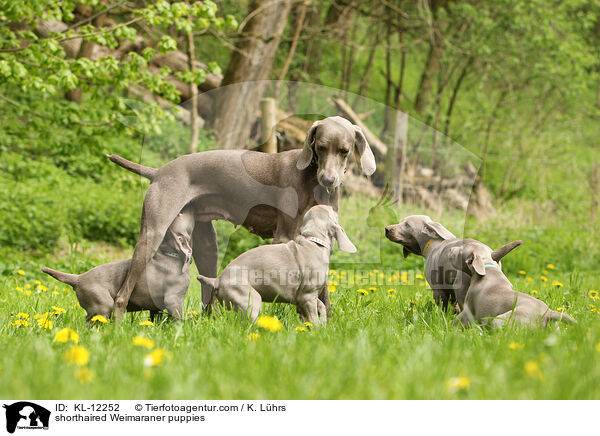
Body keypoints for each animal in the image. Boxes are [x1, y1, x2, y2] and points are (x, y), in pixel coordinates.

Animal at [42, 206, 195, 322]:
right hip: (102, 304)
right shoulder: (173, 299)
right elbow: (178, 319)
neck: (173, 256)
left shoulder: (156, 306)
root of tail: (78, 278)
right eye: (181, 214)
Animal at [197, 206, 356, 326]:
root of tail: (216, 280)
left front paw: (323, 323)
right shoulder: (307, 295)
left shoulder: (304, 296)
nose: (334, 206)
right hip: (250, 299)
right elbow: (313, 316)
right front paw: (317, 330)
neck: (313, 241)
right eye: (331, 210)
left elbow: (321, 305)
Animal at [386, 215, 524, 310]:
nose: (386, 229)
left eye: (407, 225)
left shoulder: (438, 289)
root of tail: (490, 255)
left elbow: (444, 307)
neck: (434, 243)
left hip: (461, 285)